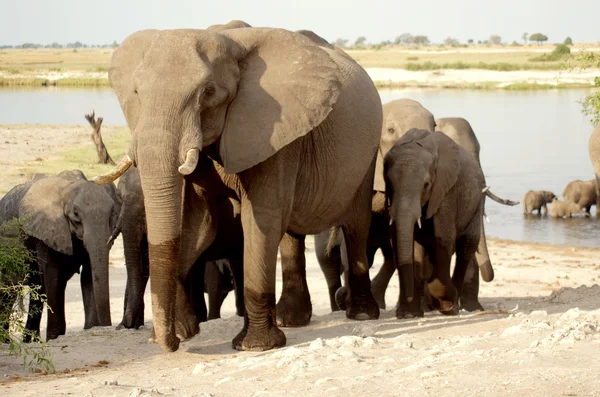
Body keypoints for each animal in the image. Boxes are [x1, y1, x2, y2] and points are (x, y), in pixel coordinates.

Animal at [0, 170, 120, 340]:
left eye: (112, 213)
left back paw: (29, 341)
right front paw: (55, 337)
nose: (107, 326)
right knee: (9, 289)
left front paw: (90, 328)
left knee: (37, 289)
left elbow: (88, 276)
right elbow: (53, 276)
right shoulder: (46, 231)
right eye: (76, 213)